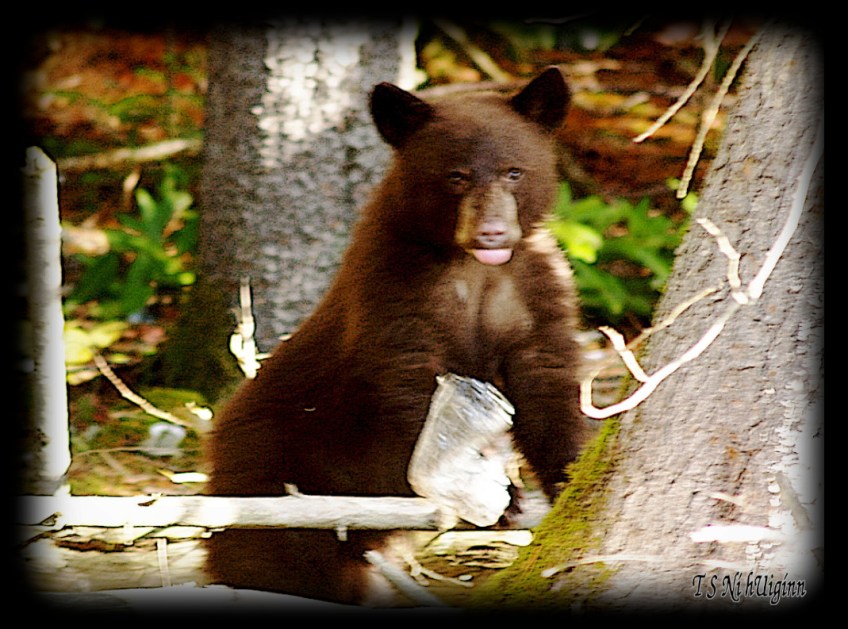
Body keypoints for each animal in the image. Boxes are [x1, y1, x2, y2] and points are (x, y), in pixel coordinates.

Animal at [205, 67, 588, 605]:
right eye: (456, 175)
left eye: (514, 171)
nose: (492, 232)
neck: (473, 269)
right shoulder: (394, 286)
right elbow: (412, 386)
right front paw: (498, 495)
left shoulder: (536, 291)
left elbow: (547, 382)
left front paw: (573, 474)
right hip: (270, 477)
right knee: (267, 560)